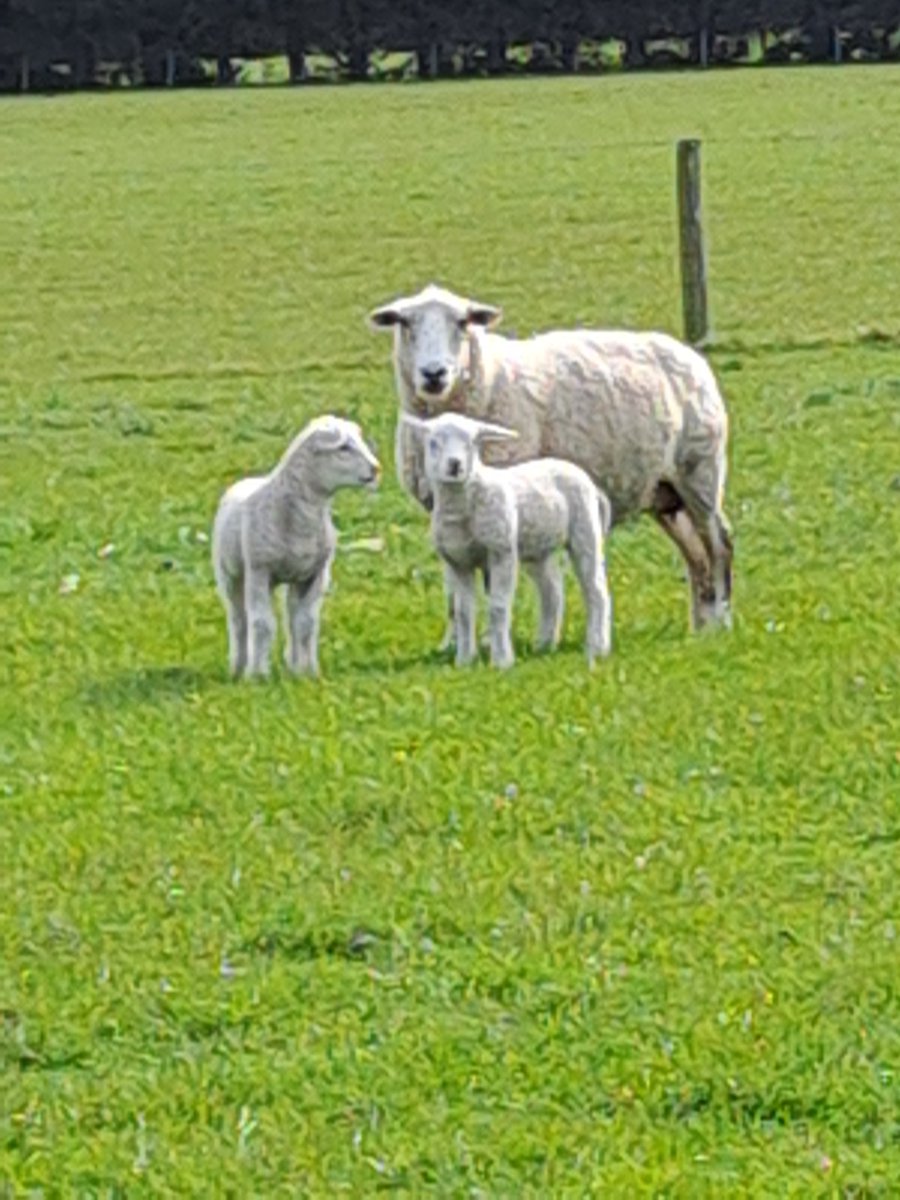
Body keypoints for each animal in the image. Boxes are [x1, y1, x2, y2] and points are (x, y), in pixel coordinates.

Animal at [212, 415, 380, 679]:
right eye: (343, 447)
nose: (376, 469)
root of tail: (248, 479)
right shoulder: (259, 570)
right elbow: (262, 623)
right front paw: (257, 675)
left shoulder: (315, 574)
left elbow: (306, 623)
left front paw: (307, 672)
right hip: (230, 574)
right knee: (239, 619)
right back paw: (238, 667)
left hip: (292, 577)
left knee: (291, 616)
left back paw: (291, 663)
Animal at [369, 283, 733, 633]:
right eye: (404, 322)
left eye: (463, 322)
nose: (434, 374)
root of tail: (689, 354)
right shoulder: (441, 508)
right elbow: (454, 588)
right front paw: (453, 641)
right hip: (664, 491)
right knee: (696, 555)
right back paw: (701, 626)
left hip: (699, 471)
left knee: (718, 544)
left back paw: (722, 620)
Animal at [403, 412, 612, 669]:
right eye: (433, 443)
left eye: (472, 443)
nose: (455, 465)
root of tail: (588, 480)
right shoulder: (459, 561)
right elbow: (463, 612)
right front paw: (464, 660)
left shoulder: (501, 551)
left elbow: (498, 606)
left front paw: (502, 660)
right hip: (537, 547)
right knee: (552, 590)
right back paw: (545, 644)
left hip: (584, 530)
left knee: (596, 589)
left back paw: (598, 646)